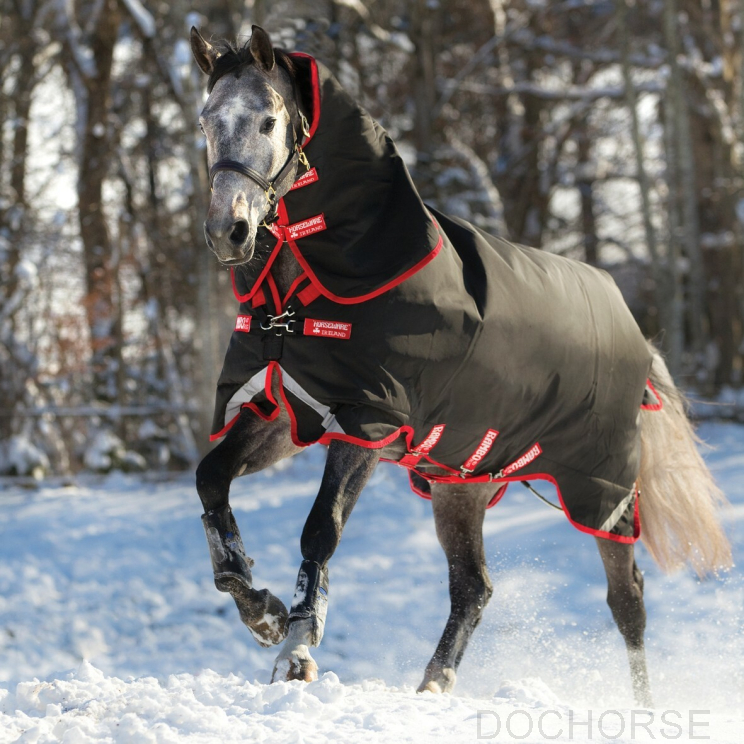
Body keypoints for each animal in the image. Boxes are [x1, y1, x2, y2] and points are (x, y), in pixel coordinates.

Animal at [190, 25, 731, 706]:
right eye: (206, 120)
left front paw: (296, 654)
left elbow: (321, 530)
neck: (304, 296)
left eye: (268, 119)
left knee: (626, 598)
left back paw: (642, 707)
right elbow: (211, 480)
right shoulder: (284, 410)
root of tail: (634, 331)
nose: (228, 231)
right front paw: (261, 613)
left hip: (602, 490)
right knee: (474, 586)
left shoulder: (367, 423)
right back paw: (433, 684)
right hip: (462, 483)